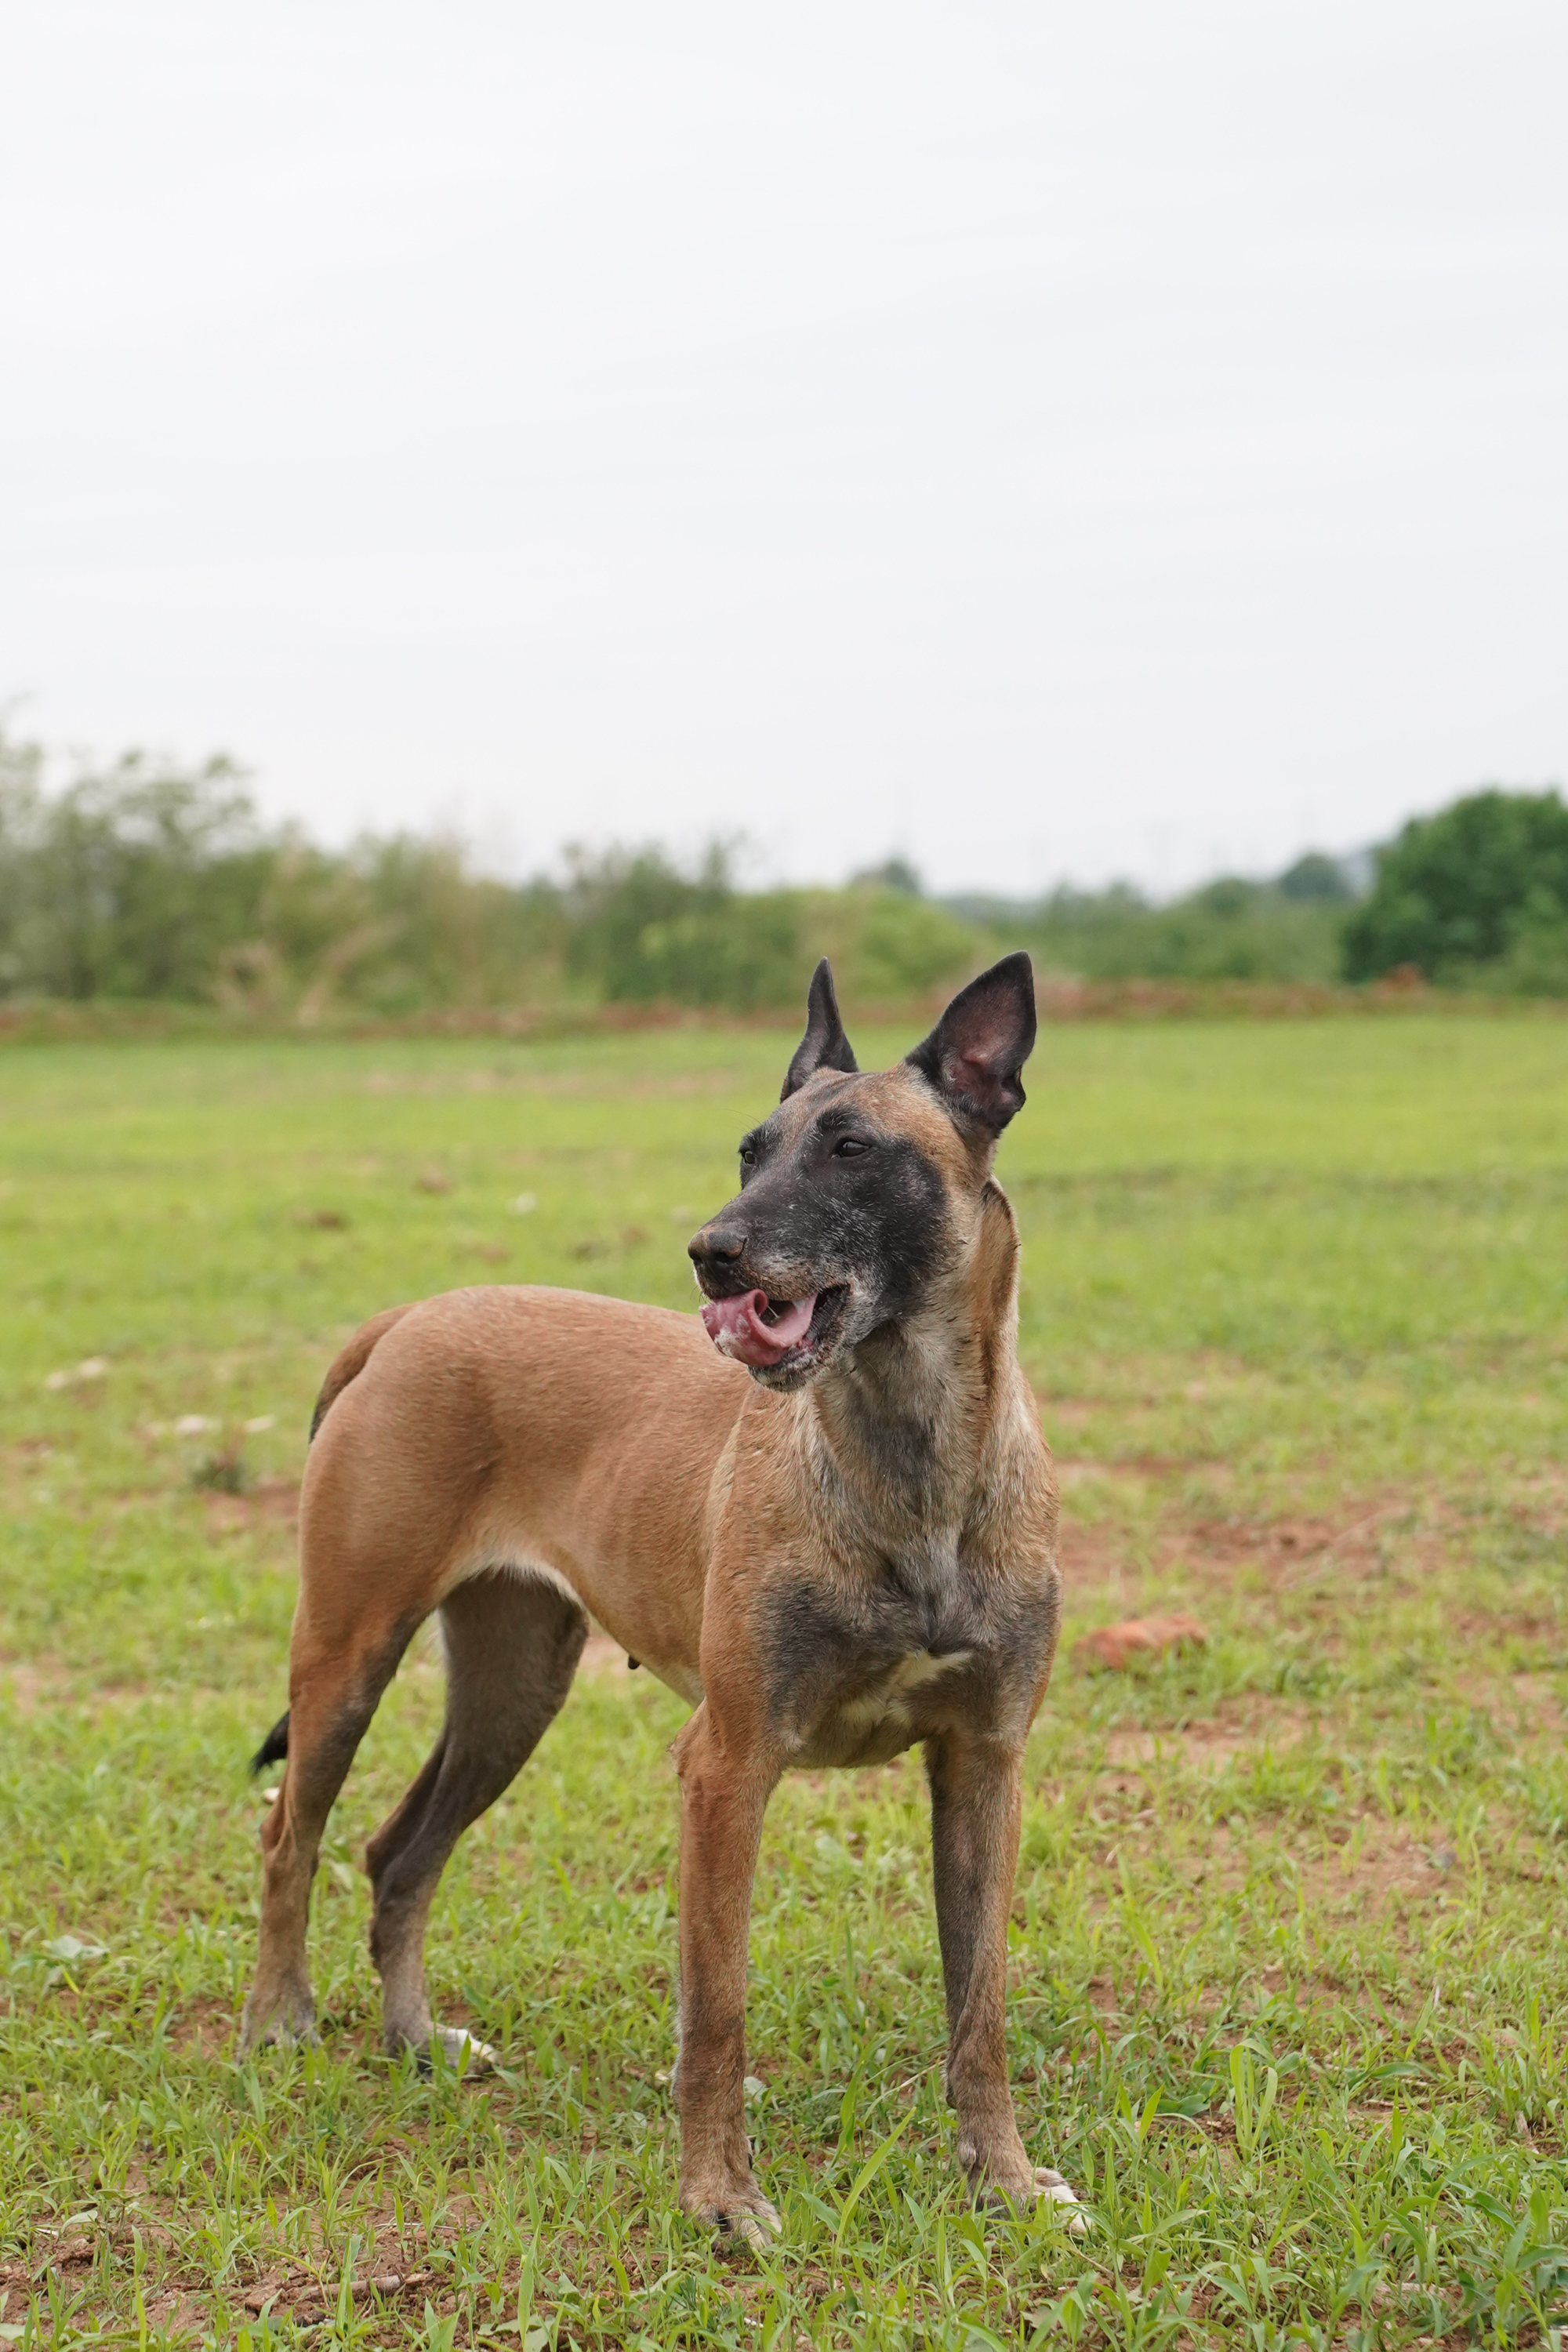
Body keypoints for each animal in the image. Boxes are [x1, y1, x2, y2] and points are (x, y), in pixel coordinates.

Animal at [241, 950, 1081, 2239]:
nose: (712, 1251)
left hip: (512, 1692)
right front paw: (720, 2198)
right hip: (348, 1654)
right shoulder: (728, 1766)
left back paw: (416, 2040)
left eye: (852, 1149)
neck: (912, 1456)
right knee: (295, 1830)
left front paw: (1002, 2176)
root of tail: (411, 1318)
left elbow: (978, 2005)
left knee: (398, 1854)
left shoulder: (985, 1765)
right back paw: (281, 2020)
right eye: (751, 1150)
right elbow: (717, 2012)